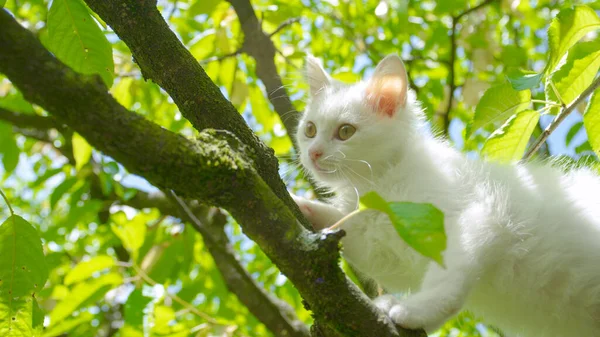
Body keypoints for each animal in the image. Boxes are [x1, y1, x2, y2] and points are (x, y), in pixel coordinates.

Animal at [292, 53, 600, 334]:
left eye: (346, 131)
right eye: (310, 130)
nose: (313, 153)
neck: (379, 181)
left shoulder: (481, 217)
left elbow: (449, 280)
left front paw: (416, 311)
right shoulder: (384, 249)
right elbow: (351, 234)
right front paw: (301, 206)